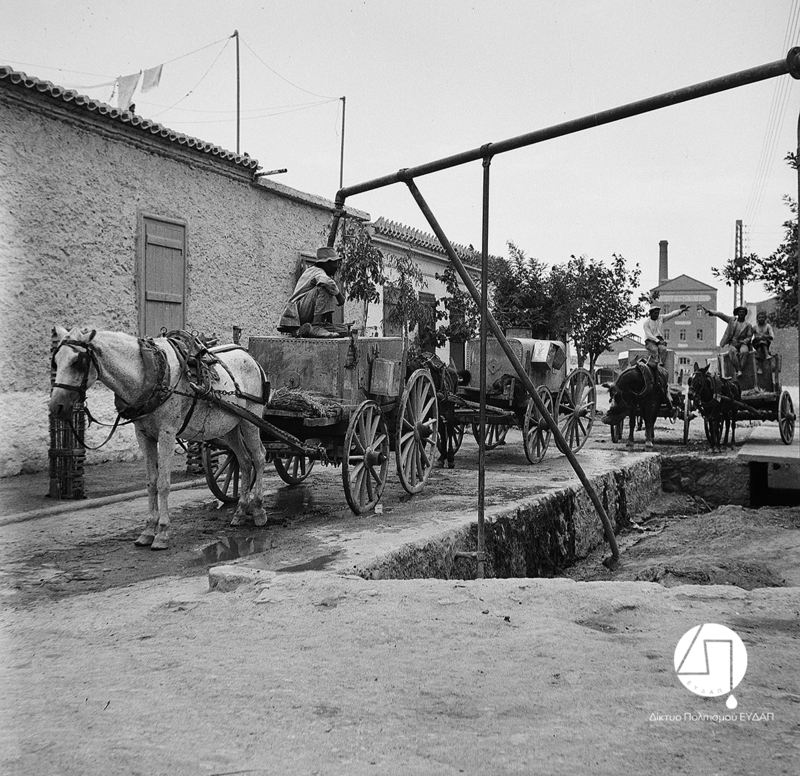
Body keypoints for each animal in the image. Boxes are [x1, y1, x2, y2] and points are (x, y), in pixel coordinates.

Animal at [50, 324, 268, 548]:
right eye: (55, 361)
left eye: (78, 362)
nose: (56, 407)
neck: (150, 371)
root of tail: (250, 357)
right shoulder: (144, 436)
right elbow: (152, 482)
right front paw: (147, 530)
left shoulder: (167, 433)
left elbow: (163, 483)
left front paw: (162, 532)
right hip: (231, 426)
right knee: (244, 461)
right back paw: (240, 512)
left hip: (250, 420)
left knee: (259, 457)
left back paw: (259, 510)